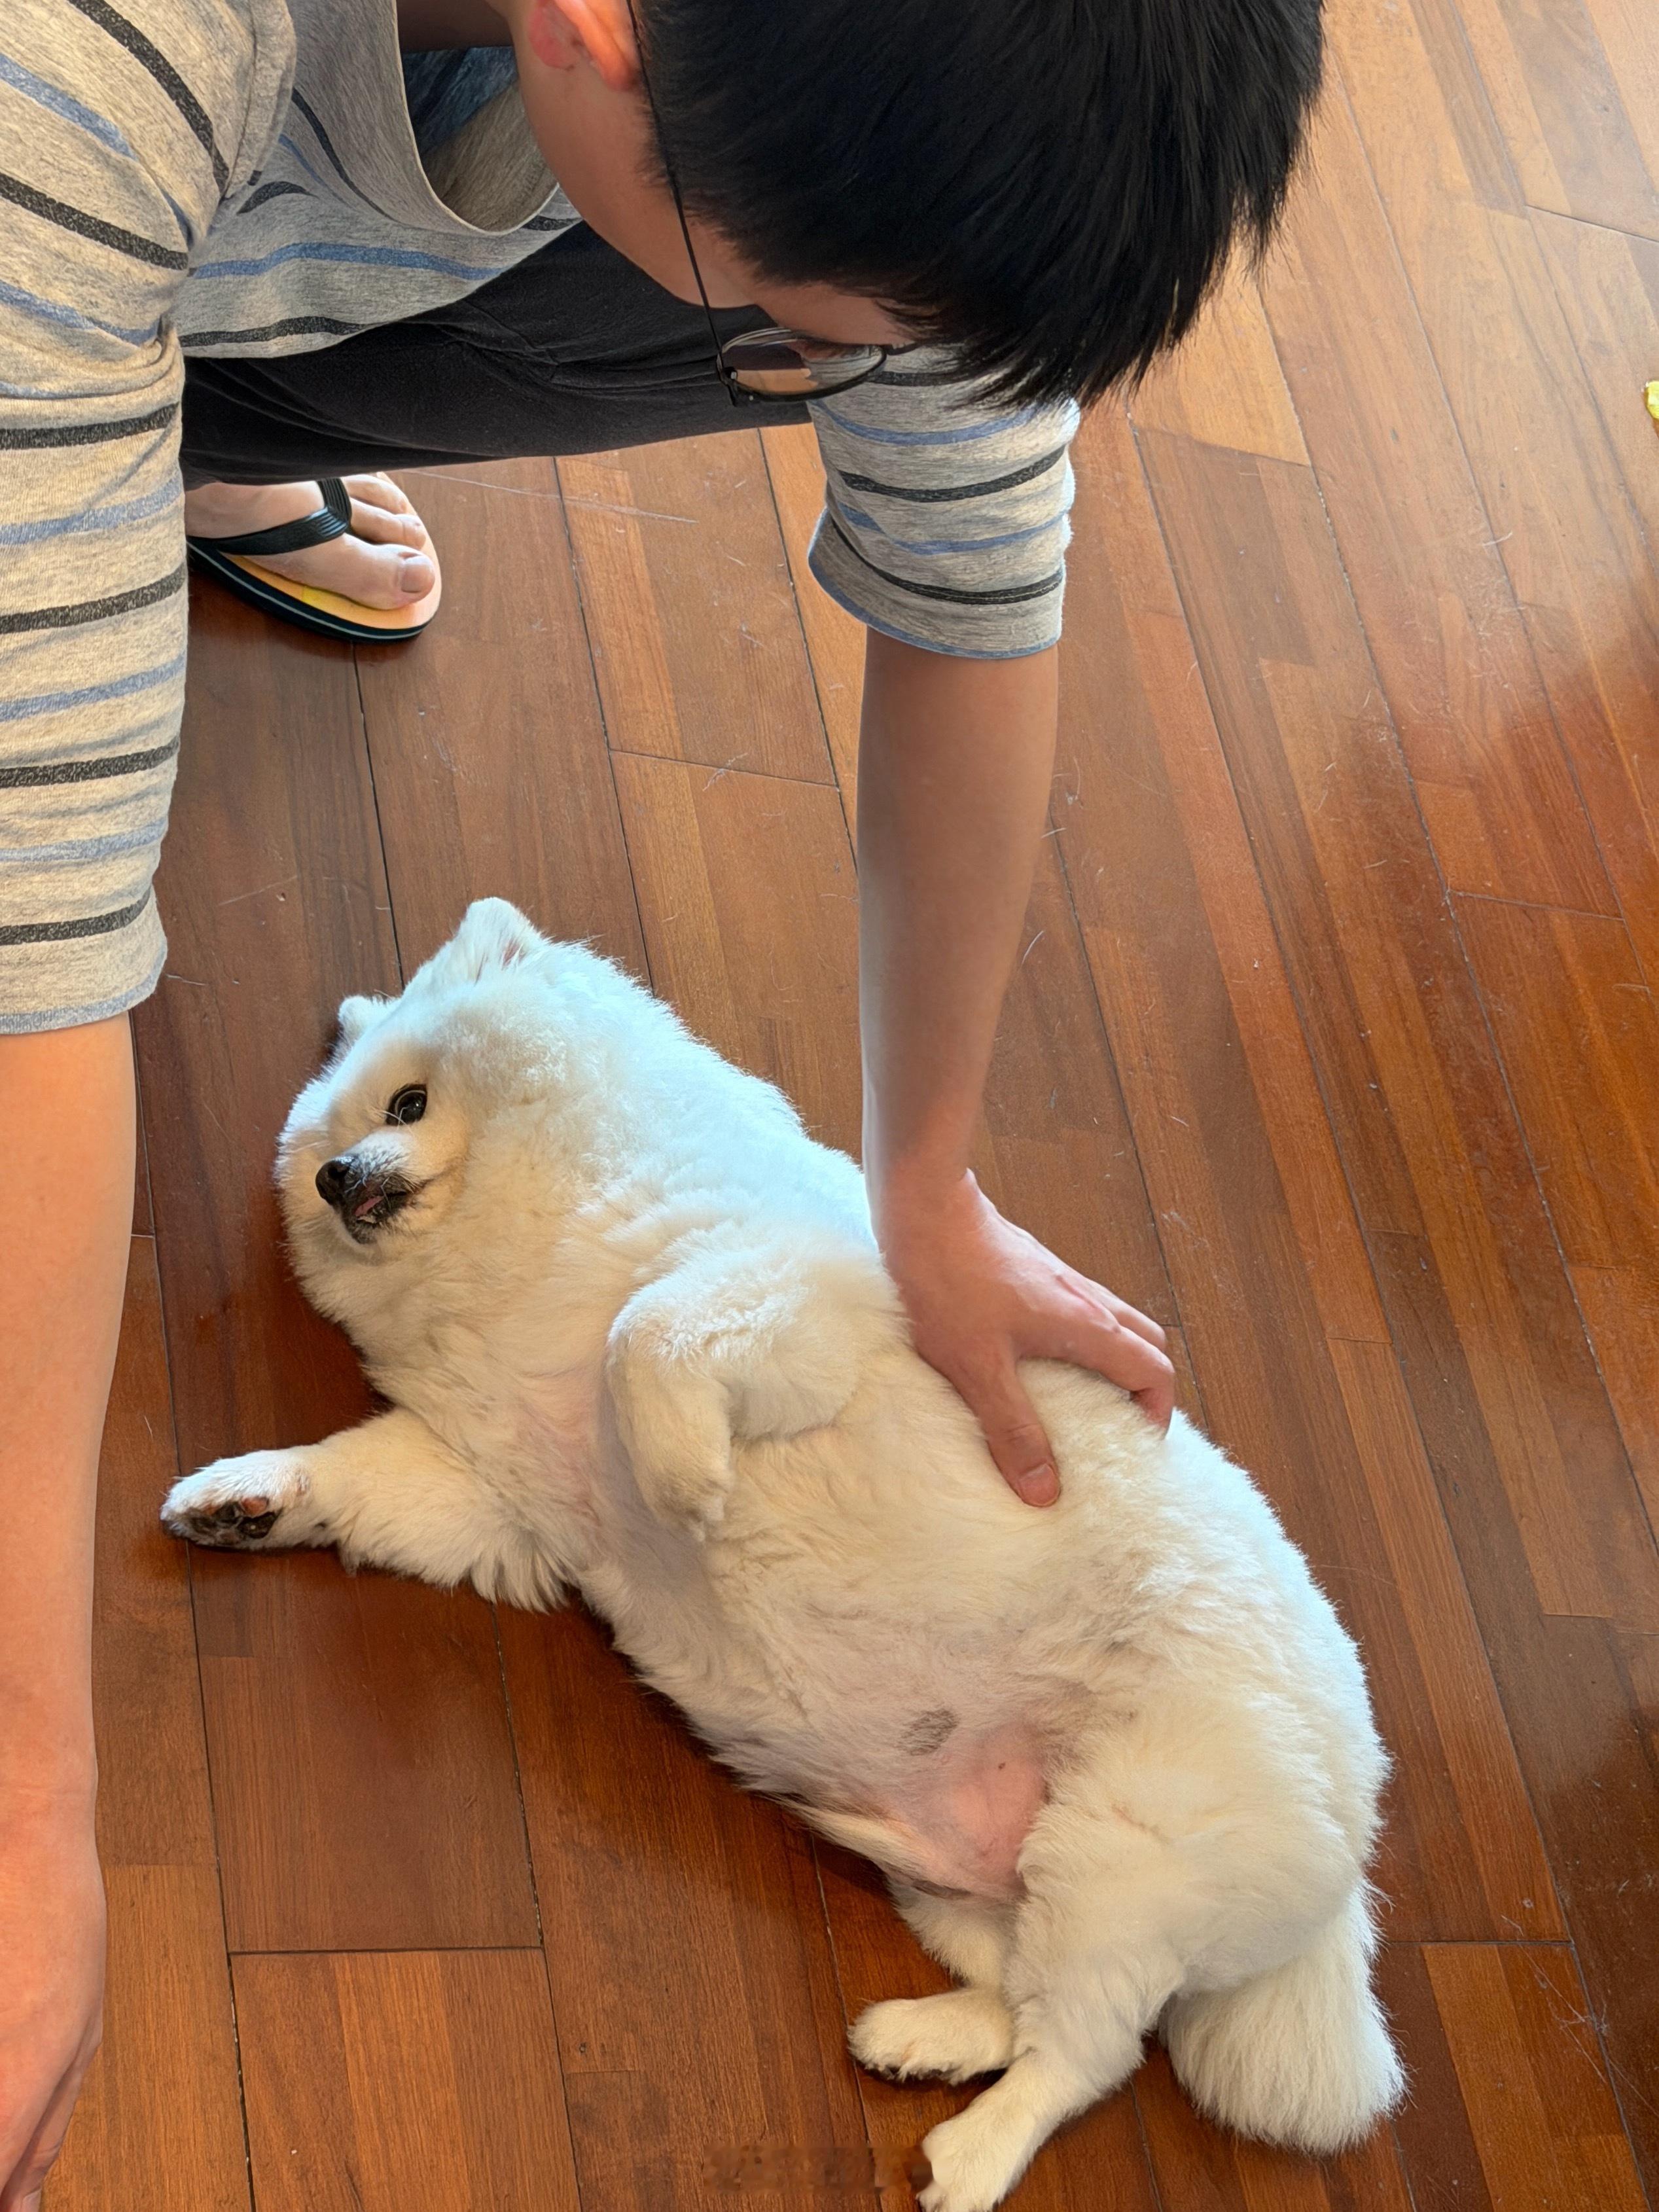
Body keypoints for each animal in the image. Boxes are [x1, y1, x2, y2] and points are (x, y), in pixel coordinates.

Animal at [163, 898, 1402, 2211]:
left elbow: (647, 1328)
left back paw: (972, 2154)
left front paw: (683, 1485)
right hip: (972, 1880)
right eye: (327, 1150)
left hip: (1128, 1845)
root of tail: (1345, 1866)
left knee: (1090, 2054)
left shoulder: (788, 1308)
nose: (336, 1175)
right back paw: (921, 2040)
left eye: (405, 1104)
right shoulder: (491, 1492)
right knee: (1037, 2009)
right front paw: (243, 1498)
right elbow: (352, 1474)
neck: (517, 1248)